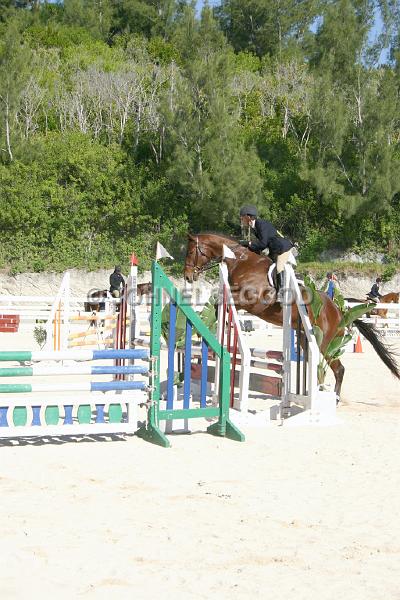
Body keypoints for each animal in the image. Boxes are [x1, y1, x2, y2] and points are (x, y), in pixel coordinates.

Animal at [184, 232, 400, 400]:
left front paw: (216, 326)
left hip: (325, 343)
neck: (242, 262)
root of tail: (339, 310)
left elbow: (222, 304)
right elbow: (220, 302)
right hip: (307, 338)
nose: (187, 276)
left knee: (339, 369)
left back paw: (334, 399)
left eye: (190, 251)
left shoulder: (252, 301)